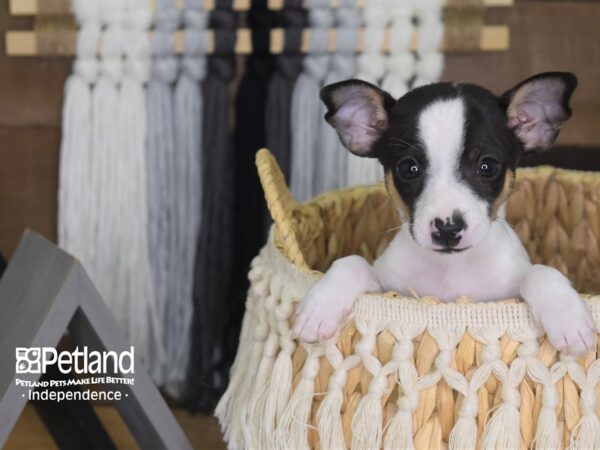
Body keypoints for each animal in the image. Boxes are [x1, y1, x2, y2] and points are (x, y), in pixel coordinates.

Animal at [292, 72, 596, 356]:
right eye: (408, 168)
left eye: (487, 166)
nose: (447, 228)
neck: (451, 268)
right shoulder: (387, 289)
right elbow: (351, 262)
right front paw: (319, 308)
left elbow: (540, 272)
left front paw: (569, 319)